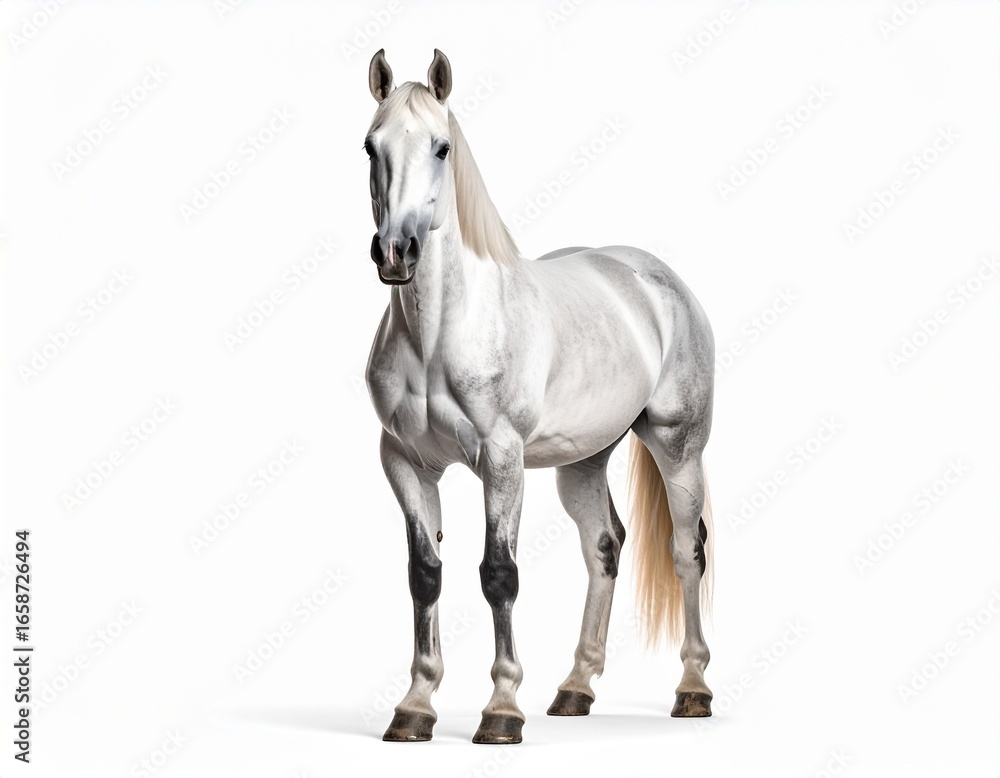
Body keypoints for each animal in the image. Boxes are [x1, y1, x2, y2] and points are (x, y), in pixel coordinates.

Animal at [362, 49, 716, 744]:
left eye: (442, 147)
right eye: (370, 146)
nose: (395, 252)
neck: (439, 335)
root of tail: (660, 280)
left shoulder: (501, 460)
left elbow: (499, 575)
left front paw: (501, 710)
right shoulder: (405, 463)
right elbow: (425, 575)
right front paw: (415, 706)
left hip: (678, 449)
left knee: (687, 553)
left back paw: (692, 688)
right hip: (582, 462)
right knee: (604, 547)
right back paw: (575, 688)